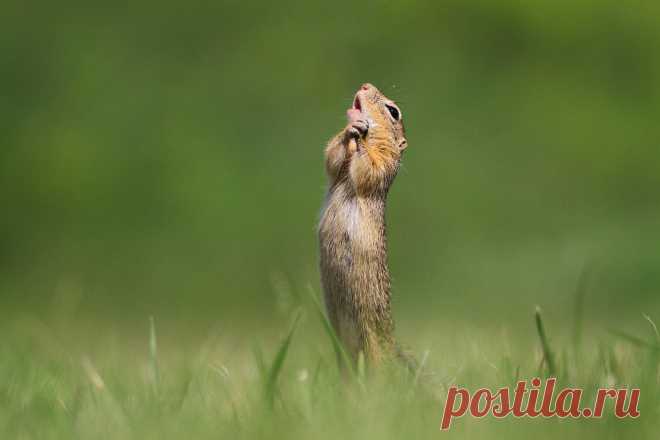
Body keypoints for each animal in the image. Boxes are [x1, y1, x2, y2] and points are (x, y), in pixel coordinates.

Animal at [318, 84, 408, 366]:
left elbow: (369, 168)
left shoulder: (384, 163)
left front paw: (360, 130)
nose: (365, 85)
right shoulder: (337, 167)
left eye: (394, 111)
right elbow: (333, 158)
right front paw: (350, 129)